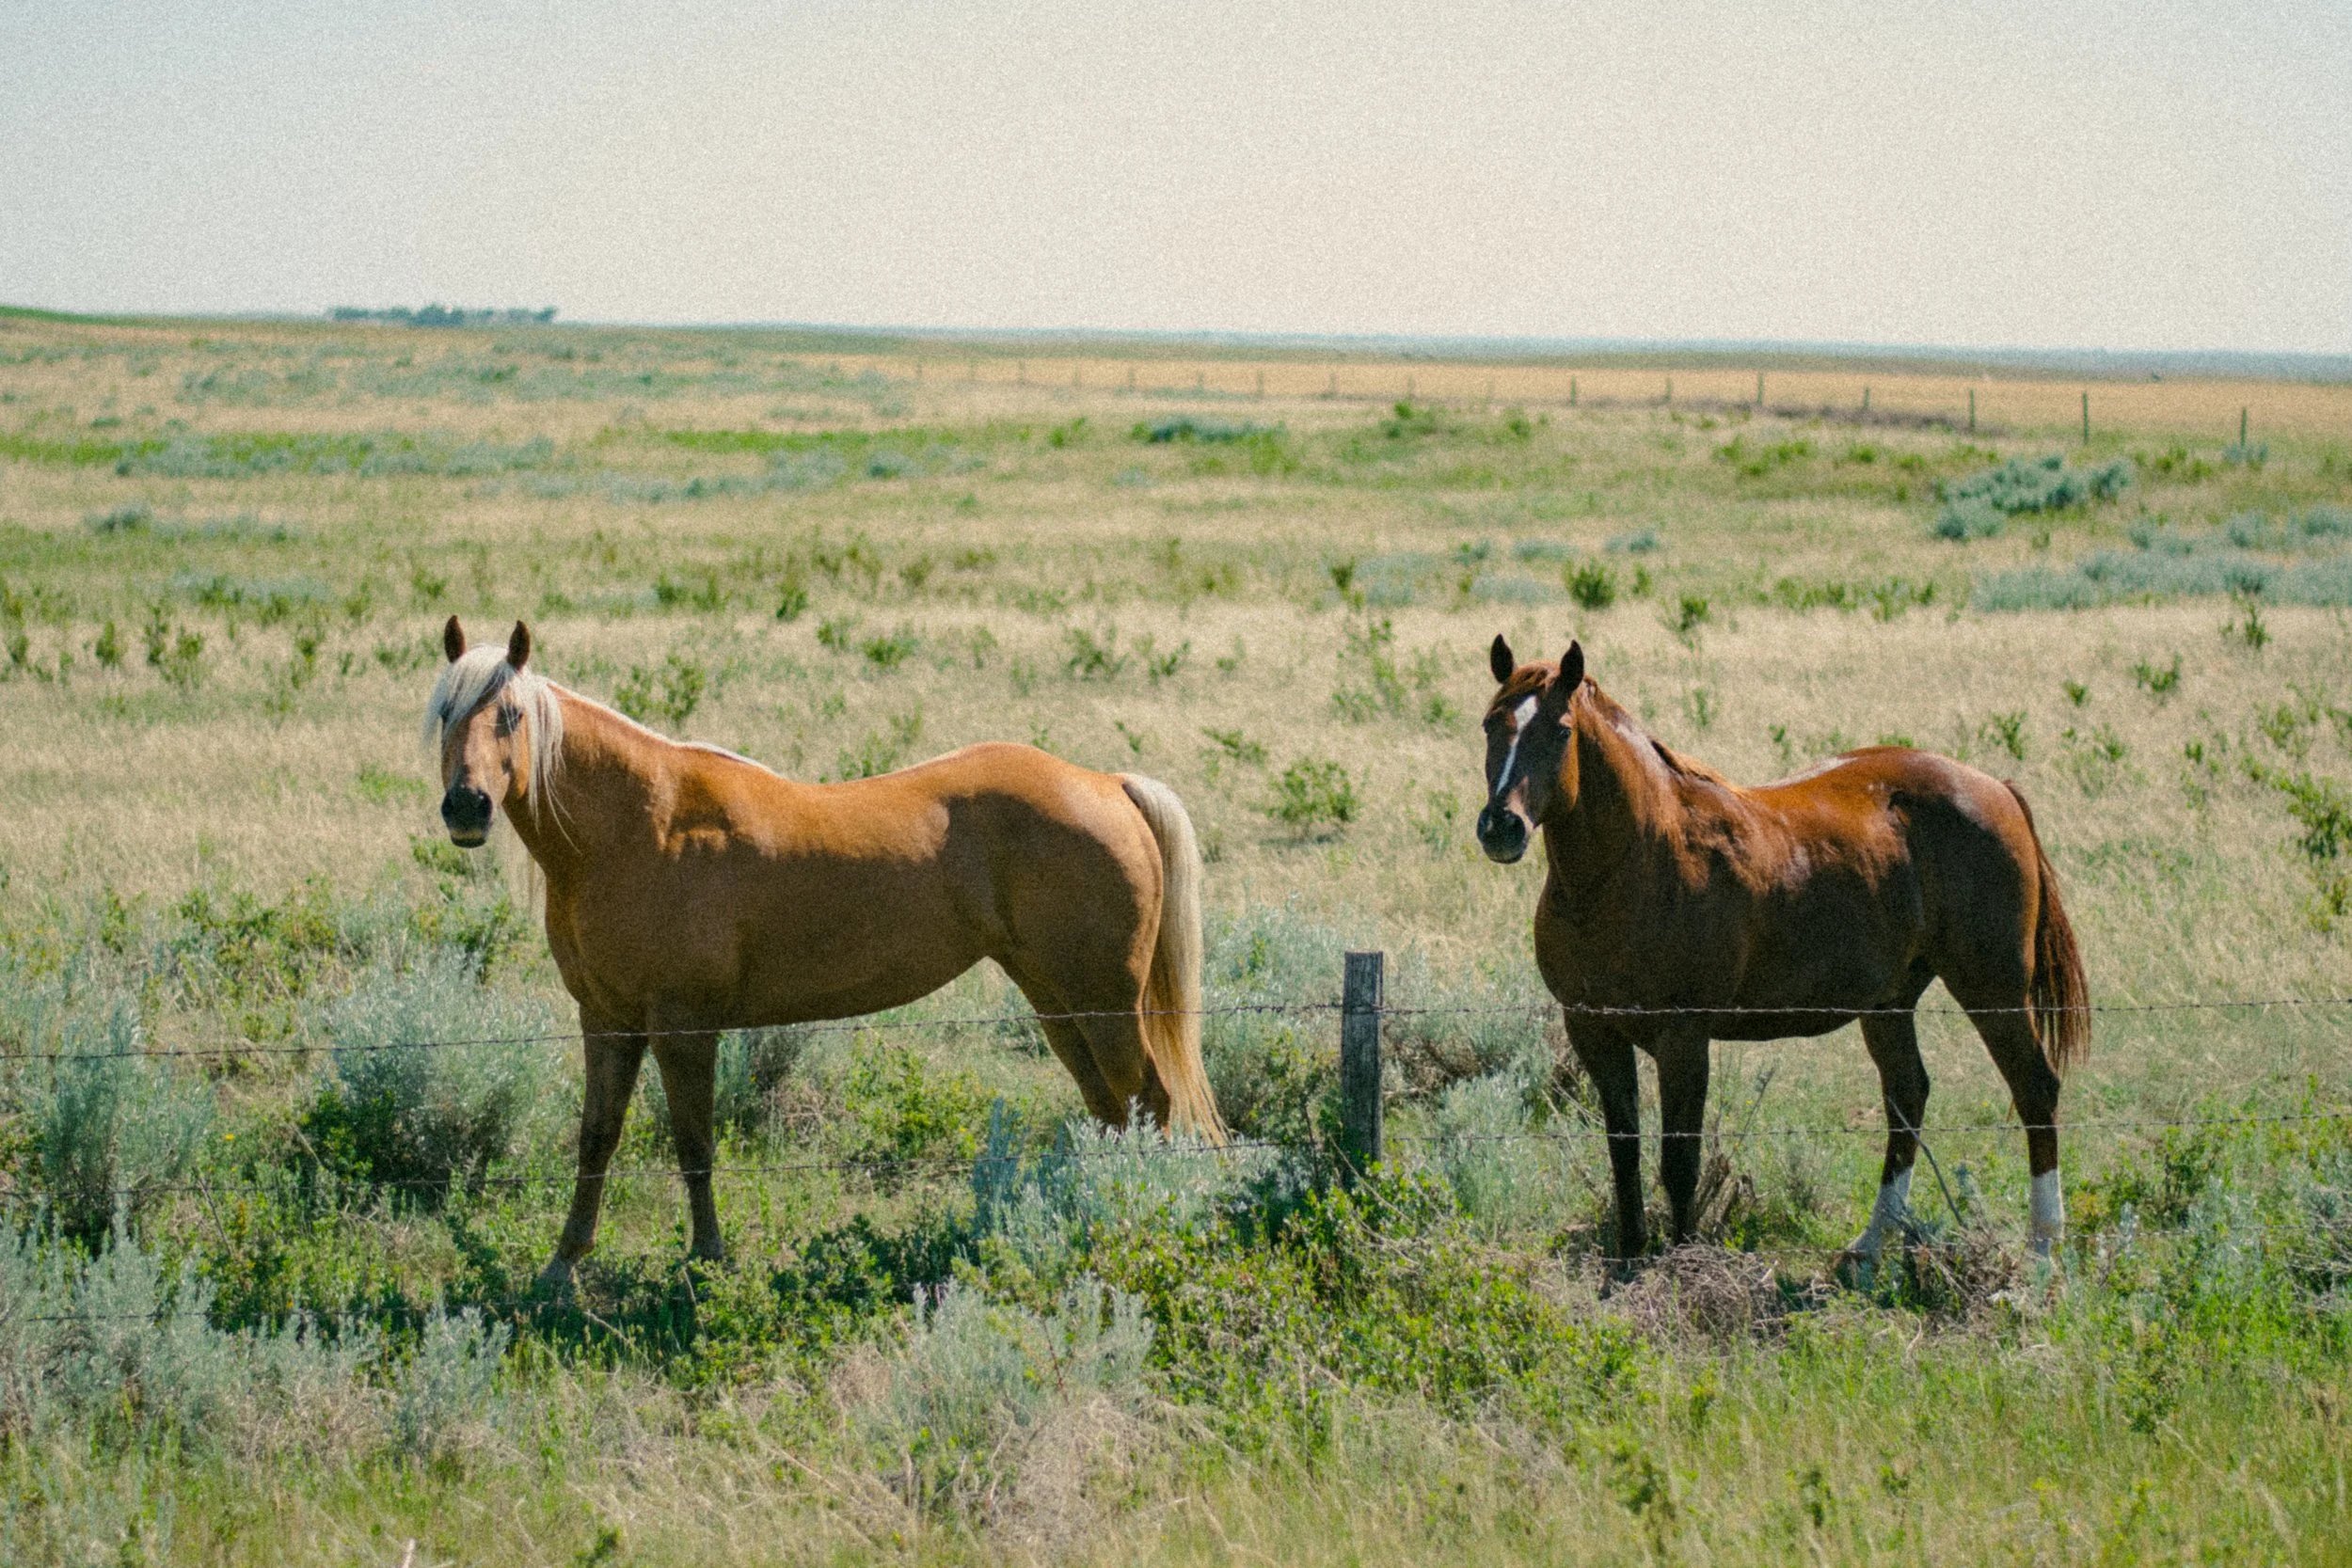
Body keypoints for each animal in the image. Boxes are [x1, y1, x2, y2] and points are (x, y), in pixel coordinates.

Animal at [423, 617, 1224, 1289]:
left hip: (1105, 999)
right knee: (1110, 1105)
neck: (642, 825)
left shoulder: (684, 1024)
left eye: (510, 714)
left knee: (1150, 1099)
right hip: (1057, 1000)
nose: (467, 807)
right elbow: (597, 1138)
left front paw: (707, 1260)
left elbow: (693, 1141)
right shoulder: (606, 1018)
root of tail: (1106, 783)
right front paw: (563, 1265)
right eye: (443, 714)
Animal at [1475, 636, 2089, 1263]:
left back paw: (2042, 1249)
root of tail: (1997, 790)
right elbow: (1624, 1156)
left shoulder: (1683, 1037)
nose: (1501, 826)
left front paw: (1683, 1263)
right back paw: (1868, 1248)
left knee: (2034, 1089)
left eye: (1562, 731)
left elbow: (1679, 1163)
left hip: (1991, 988)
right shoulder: (1592, 1031)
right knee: (1908, 1097)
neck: (1632, 863)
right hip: (1889, 1002)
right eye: (1490, 725)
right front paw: (1629, 1257)